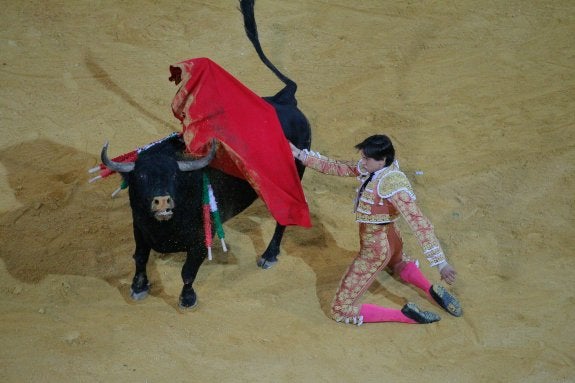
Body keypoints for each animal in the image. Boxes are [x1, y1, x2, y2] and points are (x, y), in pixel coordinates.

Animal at [101, 0, 312, 308]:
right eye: (140, 177)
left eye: (176, 177)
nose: (161, 200)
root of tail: (284, 100)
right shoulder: (139, 227)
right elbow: (139, 257)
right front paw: (138, 287)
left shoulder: (201, 239)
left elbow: (188, 271)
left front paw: (187, 297)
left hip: (293, 180)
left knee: (283, 219)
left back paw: (269, 255)